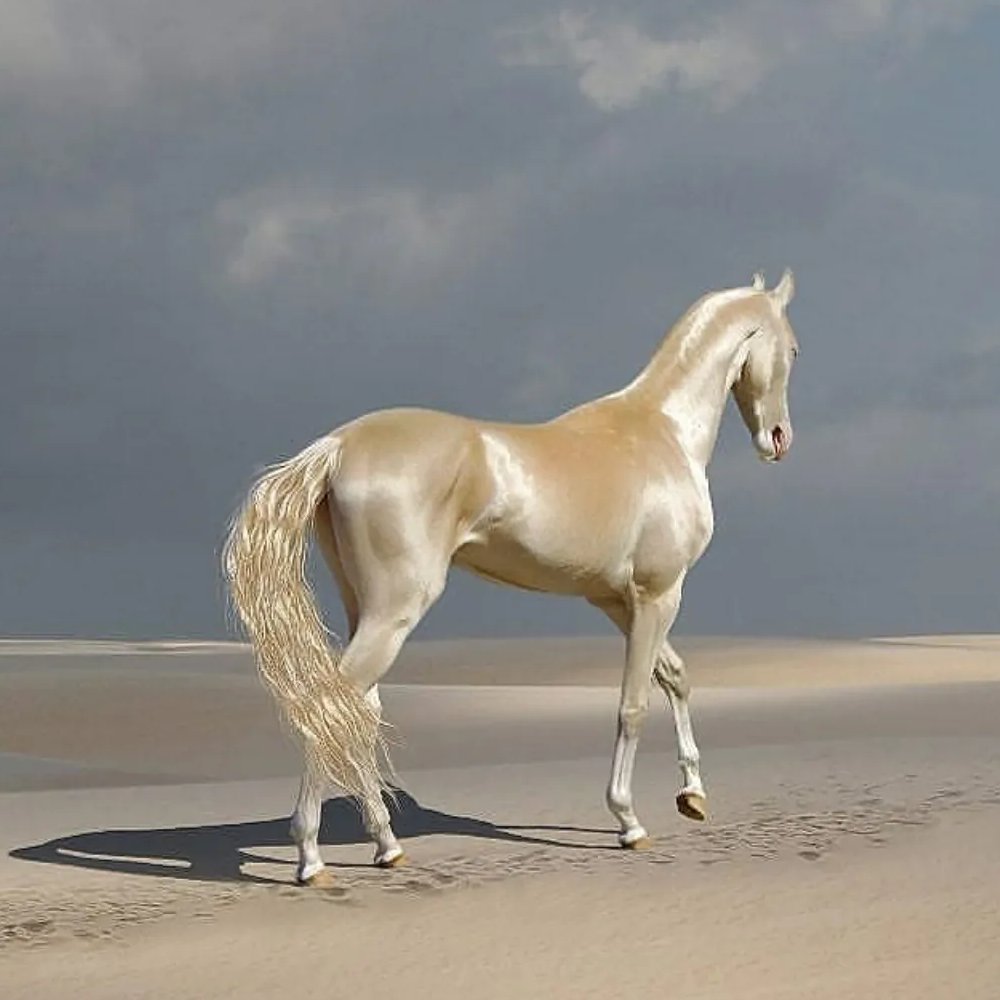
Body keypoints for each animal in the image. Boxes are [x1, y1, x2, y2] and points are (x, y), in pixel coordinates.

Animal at [223, 269, 799, 885]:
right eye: (793, 349)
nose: (778, 439)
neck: (661, 433)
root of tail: (339, 445)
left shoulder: (617, 600)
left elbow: (676, 677)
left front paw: (692, 795)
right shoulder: (658, 594)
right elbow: (634, 703)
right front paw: (628, 821)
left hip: (366, 610)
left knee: (358, 712)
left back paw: (386, 844)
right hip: (394, 612)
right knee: (332, 708)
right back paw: (310, 858)